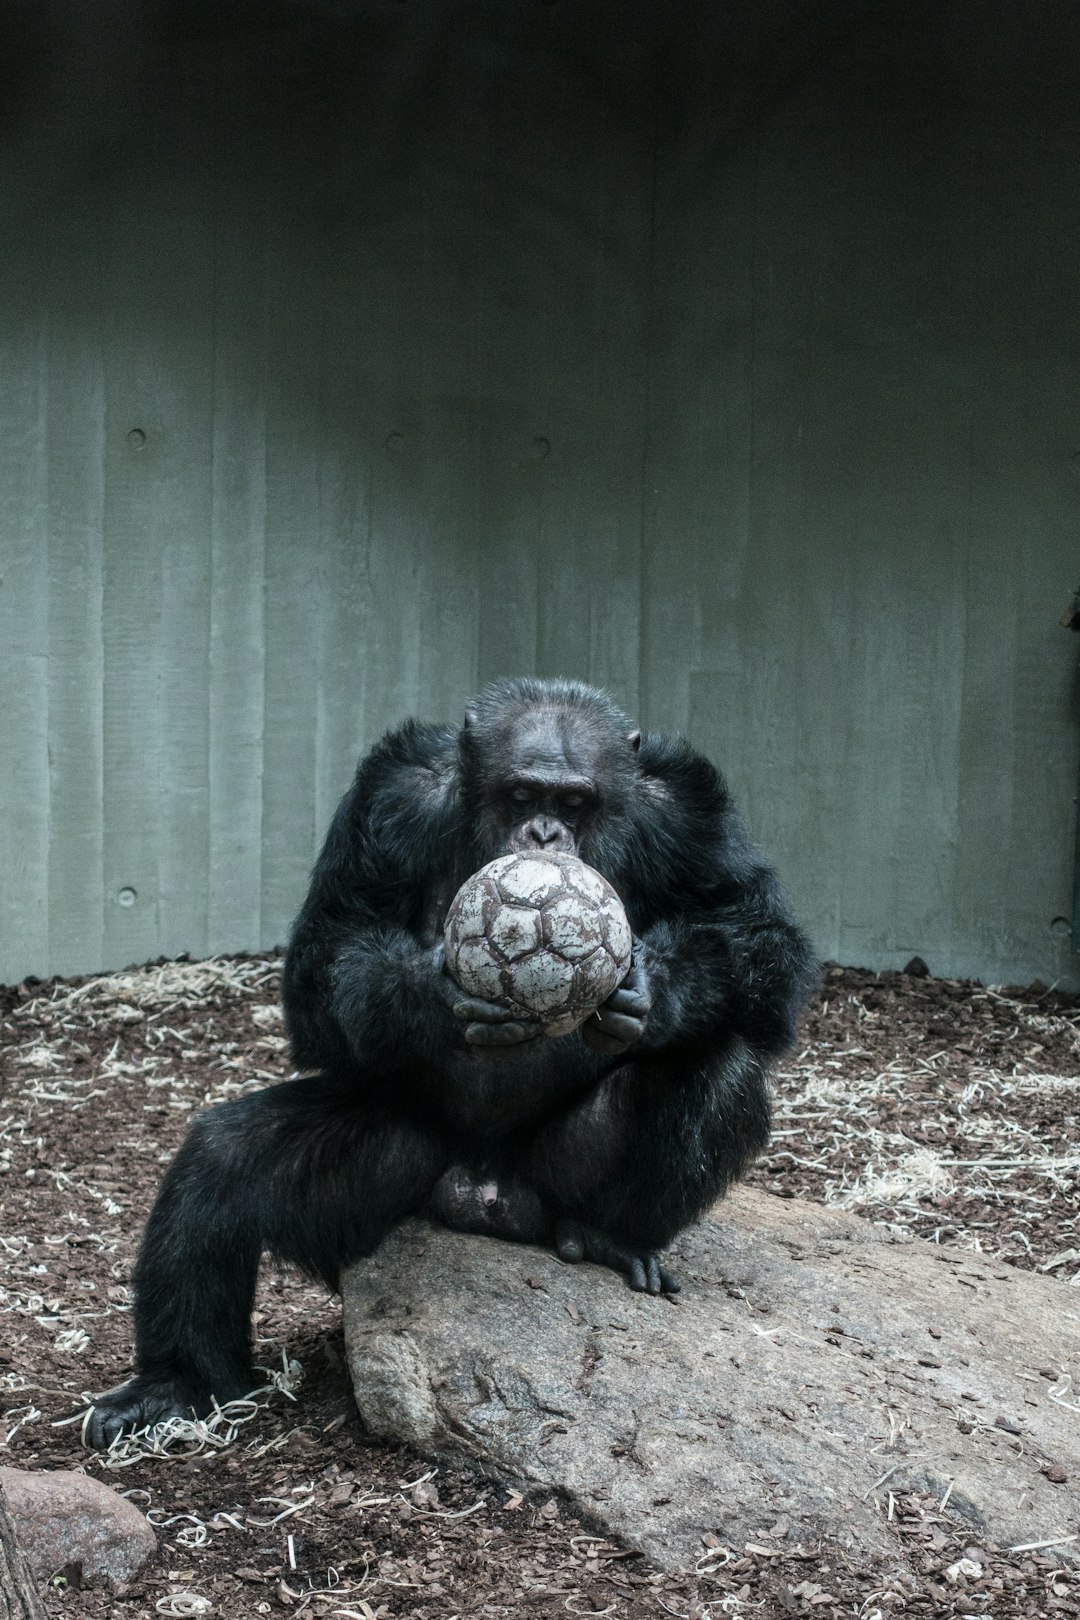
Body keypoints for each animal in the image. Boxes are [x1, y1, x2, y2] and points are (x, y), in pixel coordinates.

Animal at [88, 670, 816, 1445]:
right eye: (522, 795)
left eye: (573, 802)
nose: (545, 834)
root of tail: (484, 1193)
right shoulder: (386, 798)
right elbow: (331, 945)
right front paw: (430, 995)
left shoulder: (692, 814)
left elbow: (757, 931)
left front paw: (655, 988)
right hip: (398, 1169)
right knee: (220, 1169)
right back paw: (174, 1385)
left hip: (552, 1178)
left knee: (715, 1071)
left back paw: (609, 1236)